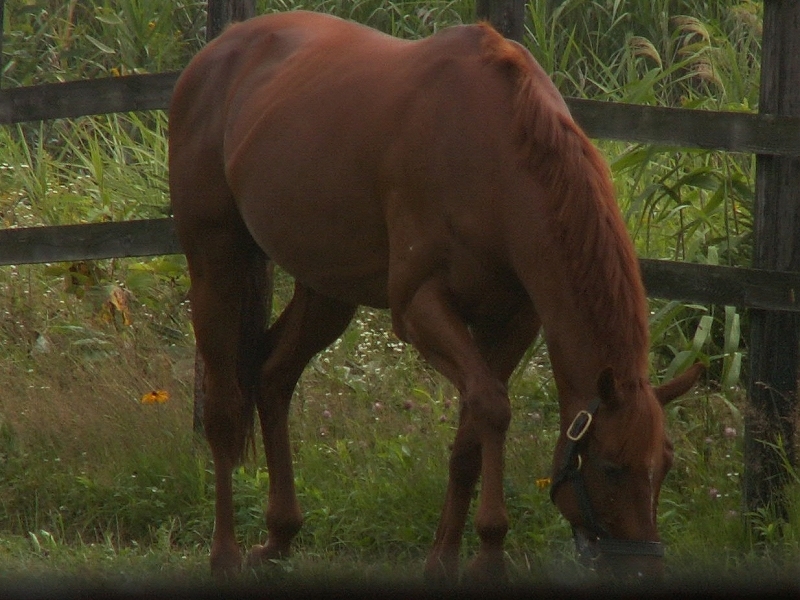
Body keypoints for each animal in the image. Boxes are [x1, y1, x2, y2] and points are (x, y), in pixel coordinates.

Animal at [170, 9, 700, 580]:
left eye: (665, 465)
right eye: (611, 467)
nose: (644, 570)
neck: (493, 150)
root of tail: (217, 52)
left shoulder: (511, 320)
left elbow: (472, 431)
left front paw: (445, 559)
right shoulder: (418, 307)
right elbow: (492, 408)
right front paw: (489, 555)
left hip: (326, 292)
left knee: (272, 377)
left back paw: (279, 537)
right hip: (215, 267)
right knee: (224, 409)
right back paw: (225, 555)